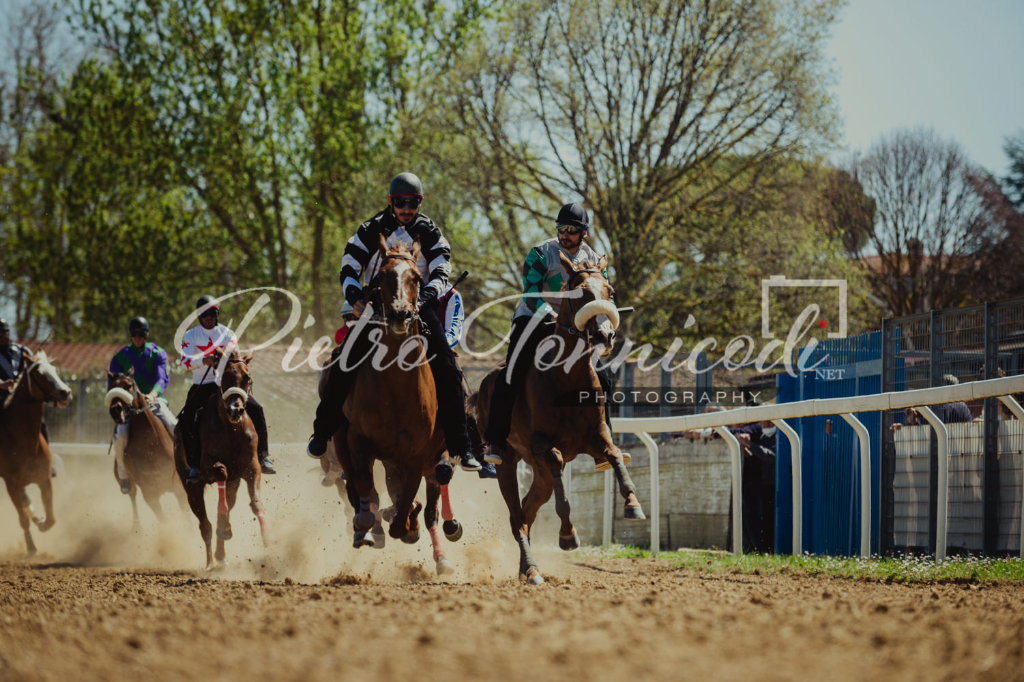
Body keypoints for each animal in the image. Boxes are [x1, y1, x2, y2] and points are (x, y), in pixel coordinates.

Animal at [0, 350, 72, 552]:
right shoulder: (11, 484)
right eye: (39, 374)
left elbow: (51, 519)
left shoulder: (44, 479)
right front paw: (31, 547)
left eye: (55, 369)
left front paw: (41, 522)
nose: (65, 393)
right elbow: (22, 518)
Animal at [176, 348, 272, 565]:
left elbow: (256, 501)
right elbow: (220, 472)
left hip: (233, 485)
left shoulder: (252, 467)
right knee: (205, 525)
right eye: (224, 375)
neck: (231, 430)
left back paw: (221, 555)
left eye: (247, 377)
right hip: (191, 489)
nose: (235, 410)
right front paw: (225, 528)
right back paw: (211, 563)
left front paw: (267, 535)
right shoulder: (207, 465)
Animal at [333, 236, 462, 569]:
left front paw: (408, 523)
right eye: (381, 276)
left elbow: (407, 507)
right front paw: (369, 524)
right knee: (353, 482)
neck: (396, 386)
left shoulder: (417, 454)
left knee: (430, 493)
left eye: (416, 278)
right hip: (342, 441)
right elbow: (364, 484)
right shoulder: (359, 440)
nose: (400, 314)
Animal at [468, 251, 643, 581]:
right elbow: (558, 466)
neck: (567, 377)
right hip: (509, 462)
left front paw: (632, 504)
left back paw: (527, 569)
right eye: (579, 293)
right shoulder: (542, 445)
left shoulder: (596, 436)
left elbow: (614, 454)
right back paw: (532, 569)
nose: (605, 334)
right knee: (516, 516)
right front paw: (568, 535)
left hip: (538, 474)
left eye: (610, 292)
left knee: (527, 511)